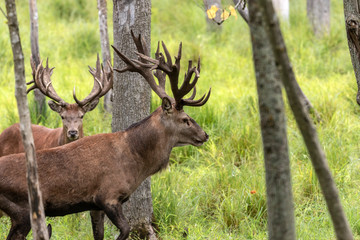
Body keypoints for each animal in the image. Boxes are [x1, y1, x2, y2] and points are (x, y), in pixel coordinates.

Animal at [0, 31, 211, 240]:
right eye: (185, 119)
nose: (205, 135)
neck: (136, 162)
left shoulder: (95, 205)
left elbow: (99, 234)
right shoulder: (108, 196)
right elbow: (125, 229)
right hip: (22, 210)